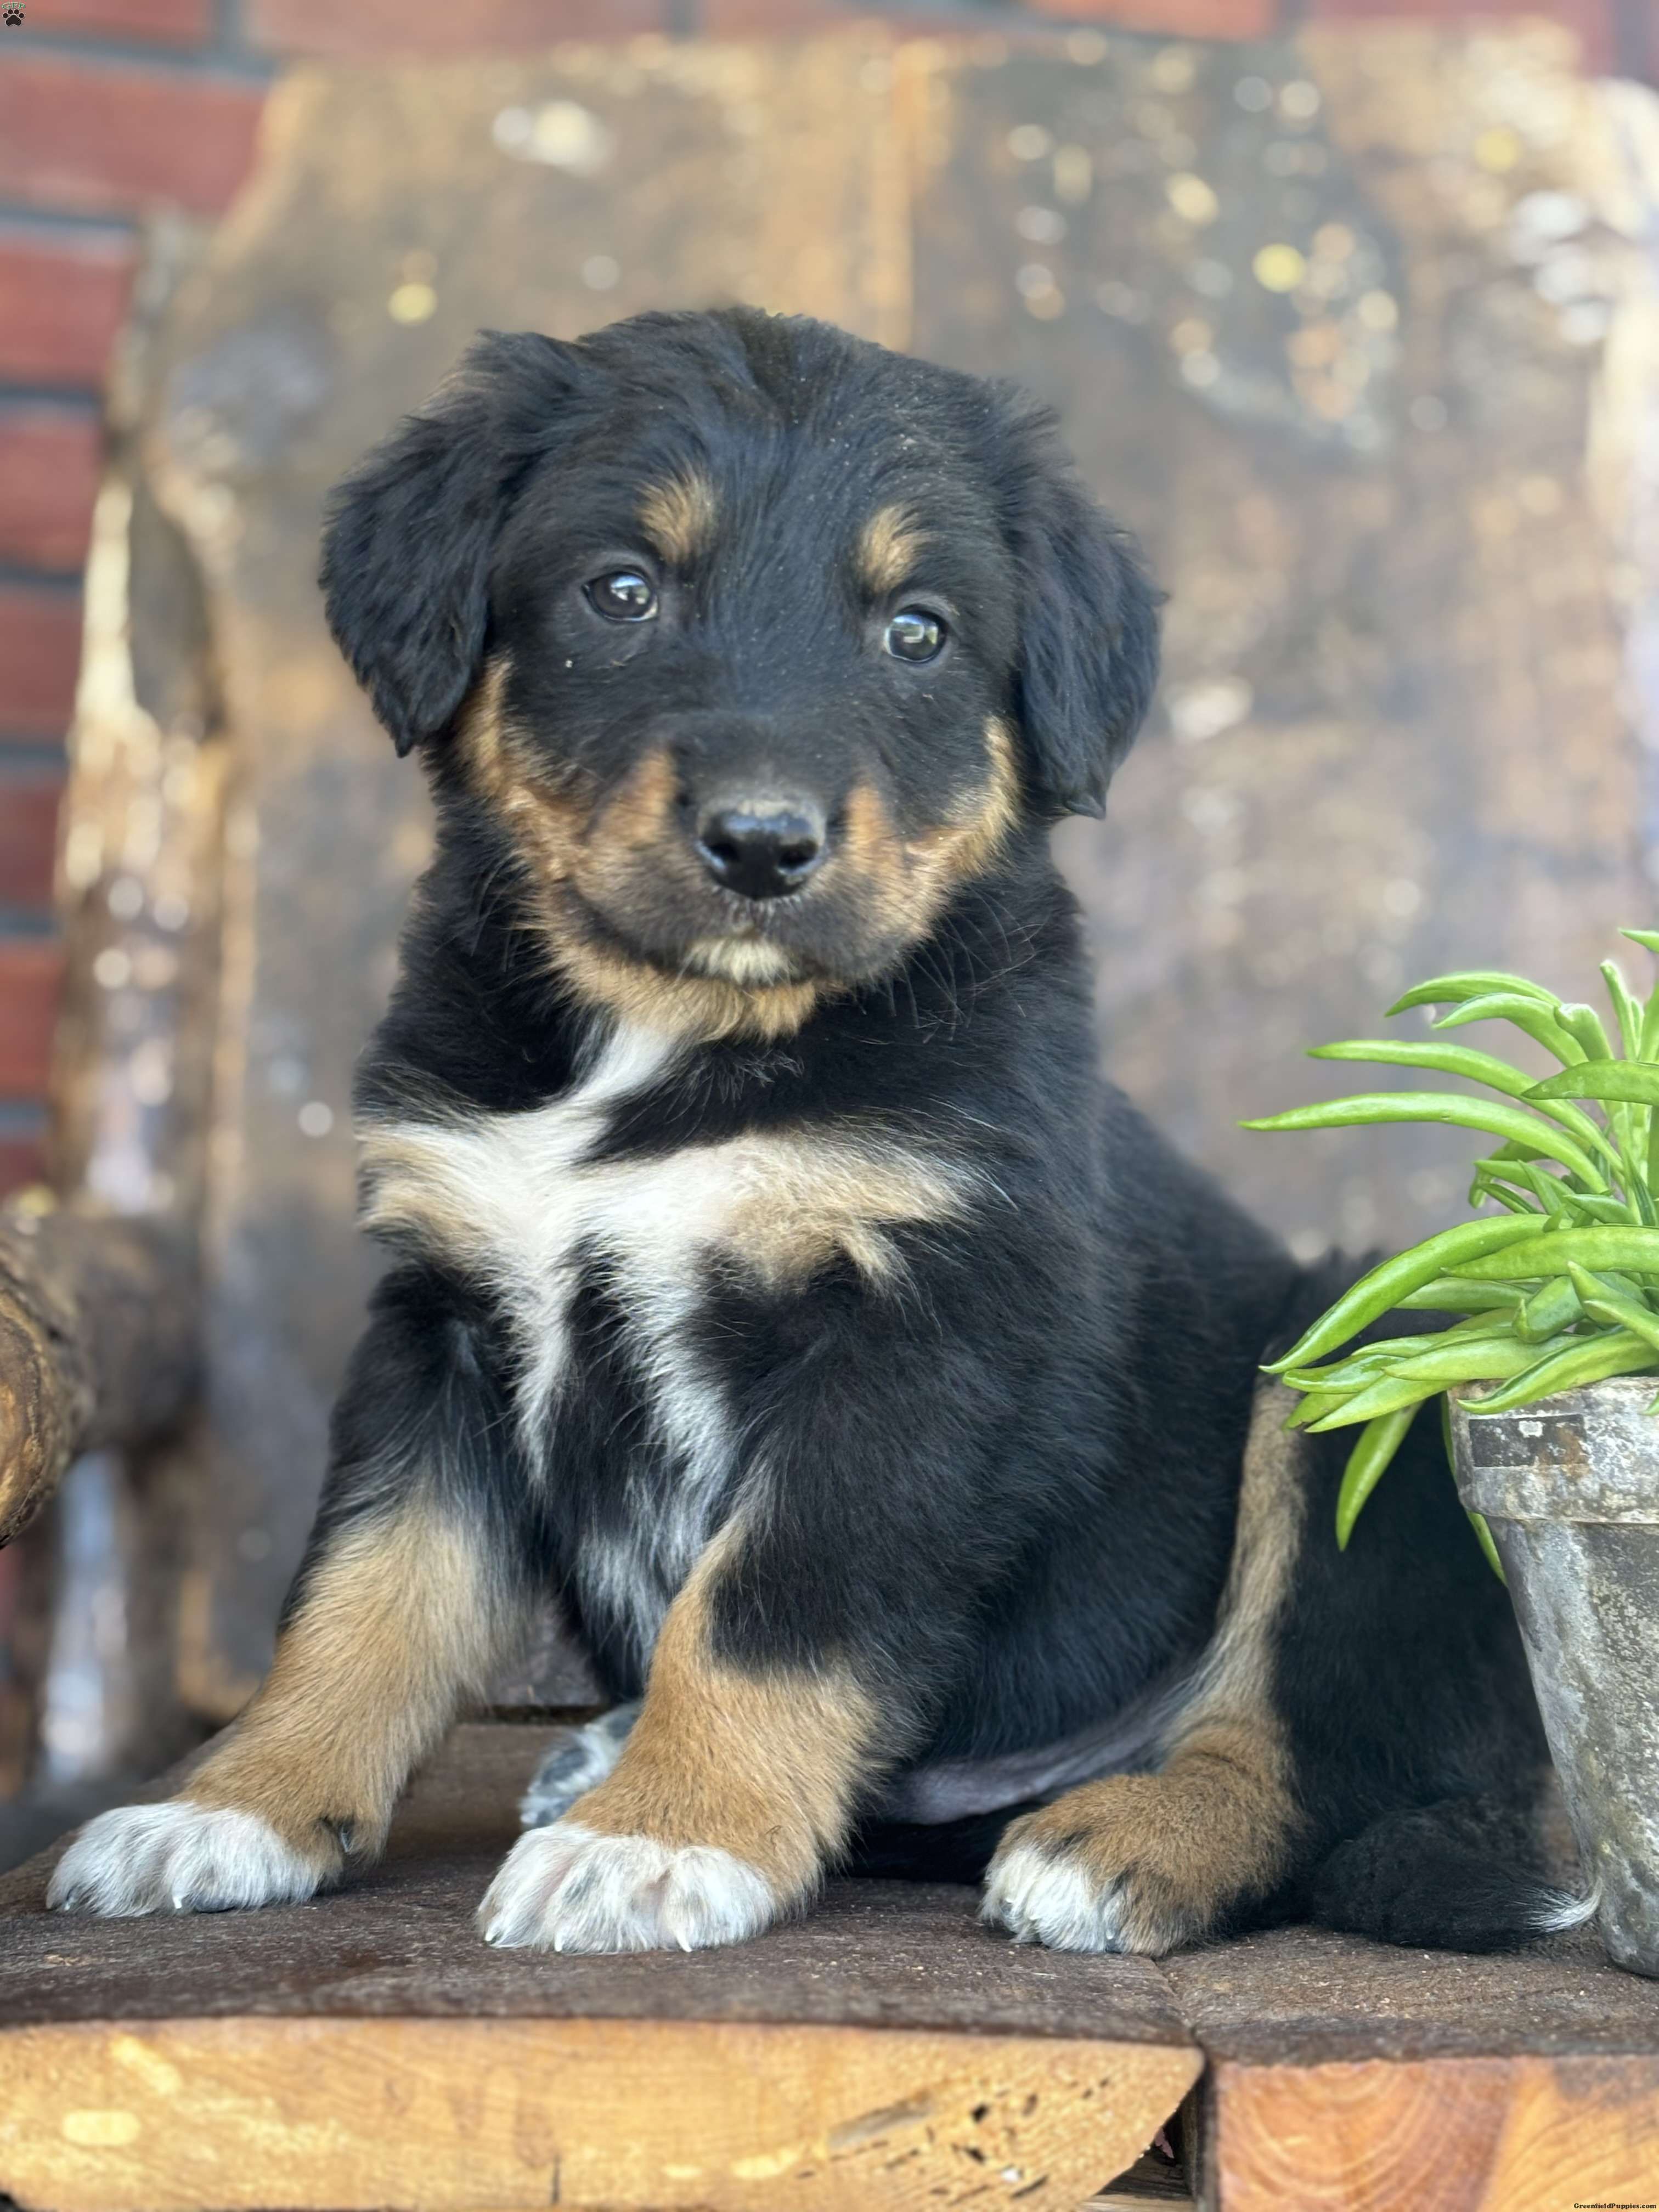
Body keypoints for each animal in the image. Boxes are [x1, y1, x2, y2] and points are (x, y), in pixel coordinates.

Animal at [49, 308, 1587, 1957]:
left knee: (1299, 1750)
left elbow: (765, 1606)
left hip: (1359, 1360)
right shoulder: (440, 1308)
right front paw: (231, 1807)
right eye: (623, 589)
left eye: (916, 631)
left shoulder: (920, 1336)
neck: (676, 1045)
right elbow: (361, 1595)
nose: (764, 844)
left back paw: (1126, 1840)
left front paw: (663, 1837)